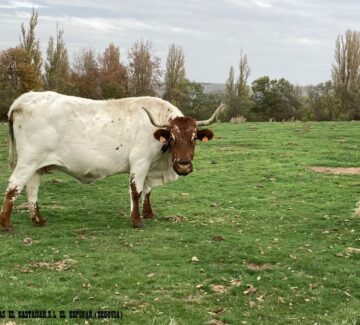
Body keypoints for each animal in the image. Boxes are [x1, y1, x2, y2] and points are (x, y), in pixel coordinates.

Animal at [0, 90, 225, 229]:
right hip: (28, 161)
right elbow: (136, 191)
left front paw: (149, 214)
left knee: (32, 188)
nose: (184, 166)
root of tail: (24, 99)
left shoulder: (150, 165)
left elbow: (148, 191)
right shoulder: (140, 161)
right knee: (14, 186)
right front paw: (137, 221)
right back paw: (7, 224)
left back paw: (38, 219)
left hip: (37, 165)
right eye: (172, 137)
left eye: (194, 137)